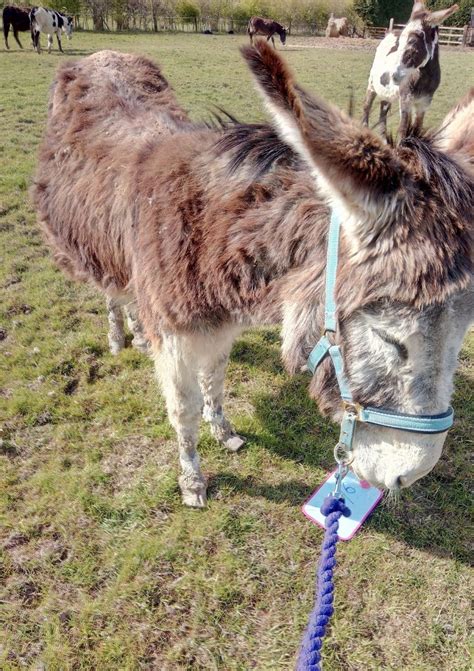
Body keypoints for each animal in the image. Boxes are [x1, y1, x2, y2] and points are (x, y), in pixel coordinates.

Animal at [31, 46, 472, 510]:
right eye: (390, 339)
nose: (410, 474)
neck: (208, 234)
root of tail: (102, 53)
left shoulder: (219, 327)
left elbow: (215, 379)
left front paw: (222, 430)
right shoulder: (175, 338)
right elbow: (183, 410)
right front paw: (192, 480)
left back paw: (136, 332)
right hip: (89, 239)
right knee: (110, 290)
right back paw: (119, 336)